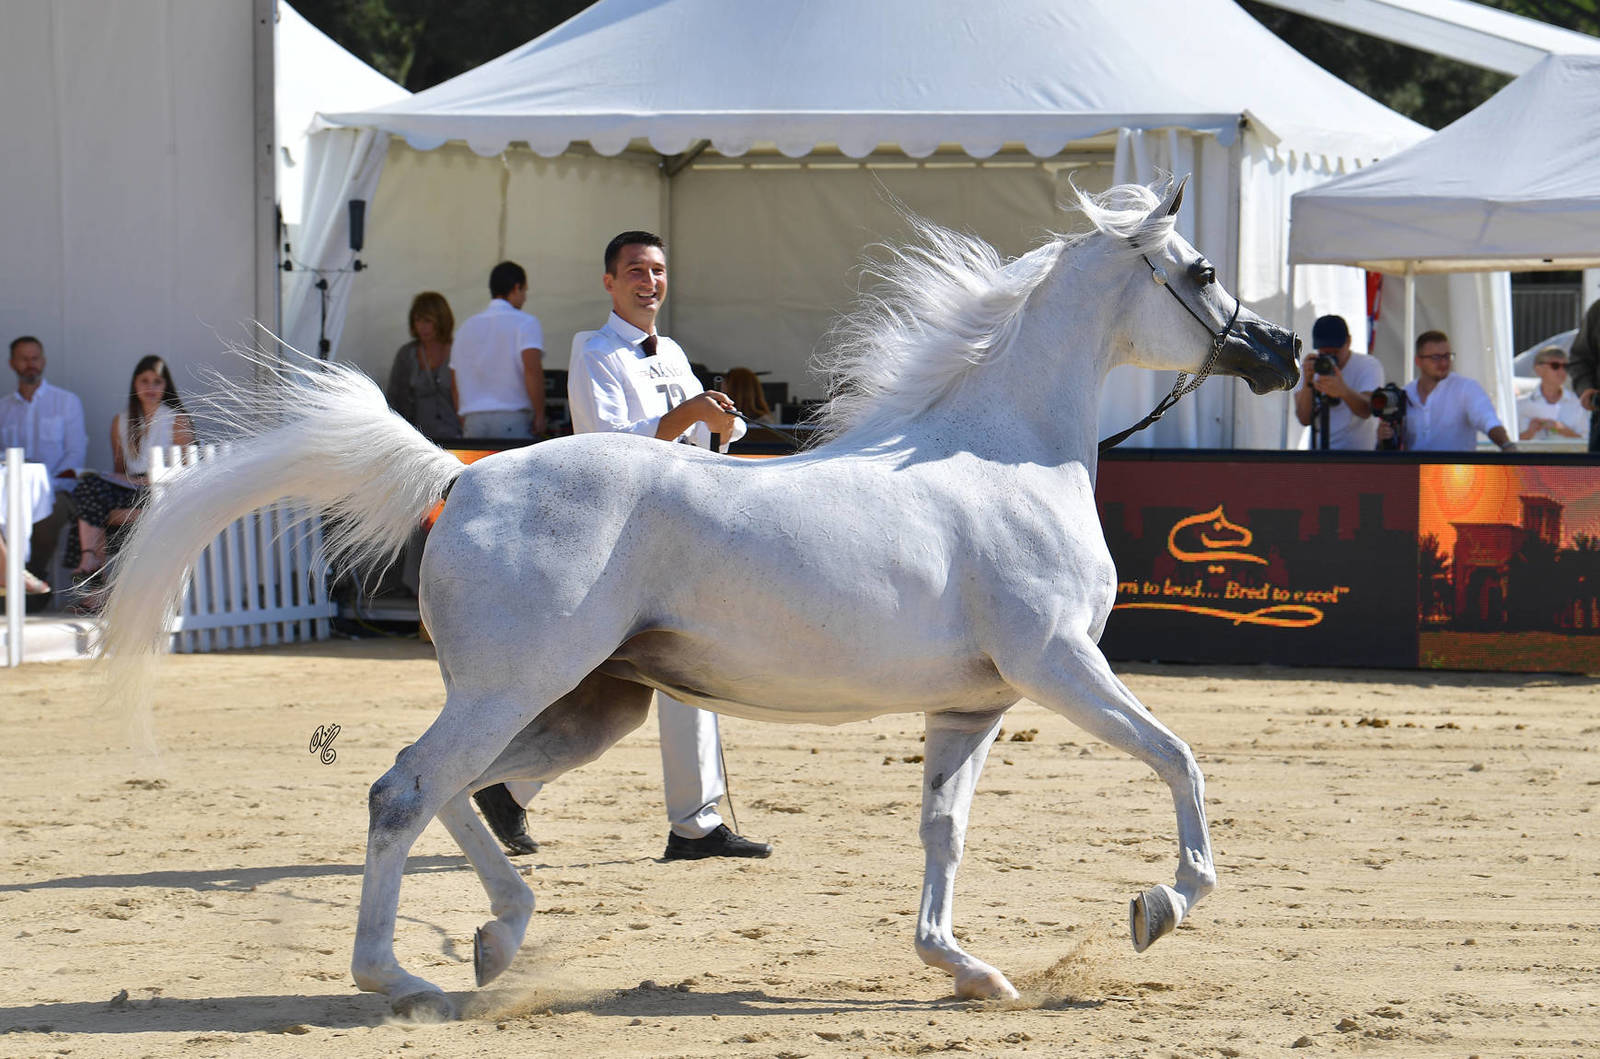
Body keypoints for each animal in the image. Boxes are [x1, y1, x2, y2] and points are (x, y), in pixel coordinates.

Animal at [98, 177, 1299, 1021]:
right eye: (1199, 269)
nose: (1283, 355)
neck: (1004, 456)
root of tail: (464, 477)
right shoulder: (1059, 666)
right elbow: (1180, 760)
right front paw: (1158, 907)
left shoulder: (971, 706)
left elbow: (942, 831)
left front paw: (963, 968)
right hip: (514, 688)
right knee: (405, 790)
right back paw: (403, 979)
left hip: (592, 703)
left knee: (466, 792)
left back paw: (497, 940)